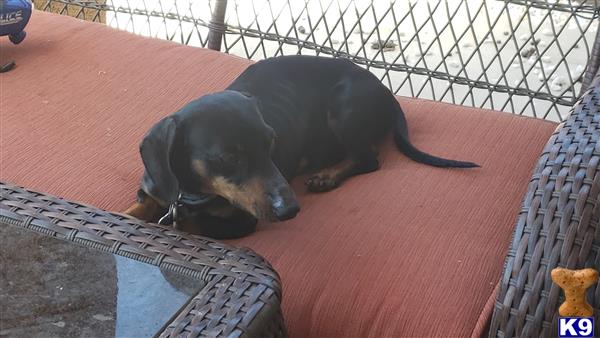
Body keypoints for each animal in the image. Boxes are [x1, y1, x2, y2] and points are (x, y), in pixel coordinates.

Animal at [123, 55, 478, 238]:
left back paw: (327, 176)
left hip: (343, 107)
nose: (291, 210)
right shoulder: (155, 187)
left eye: (271, 143)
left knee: (369, 158)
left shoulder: (242, 223)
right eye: (226, 158)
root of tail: (387, 93)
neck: (191, 192)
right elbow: (139, 208)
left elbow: (190, 222)